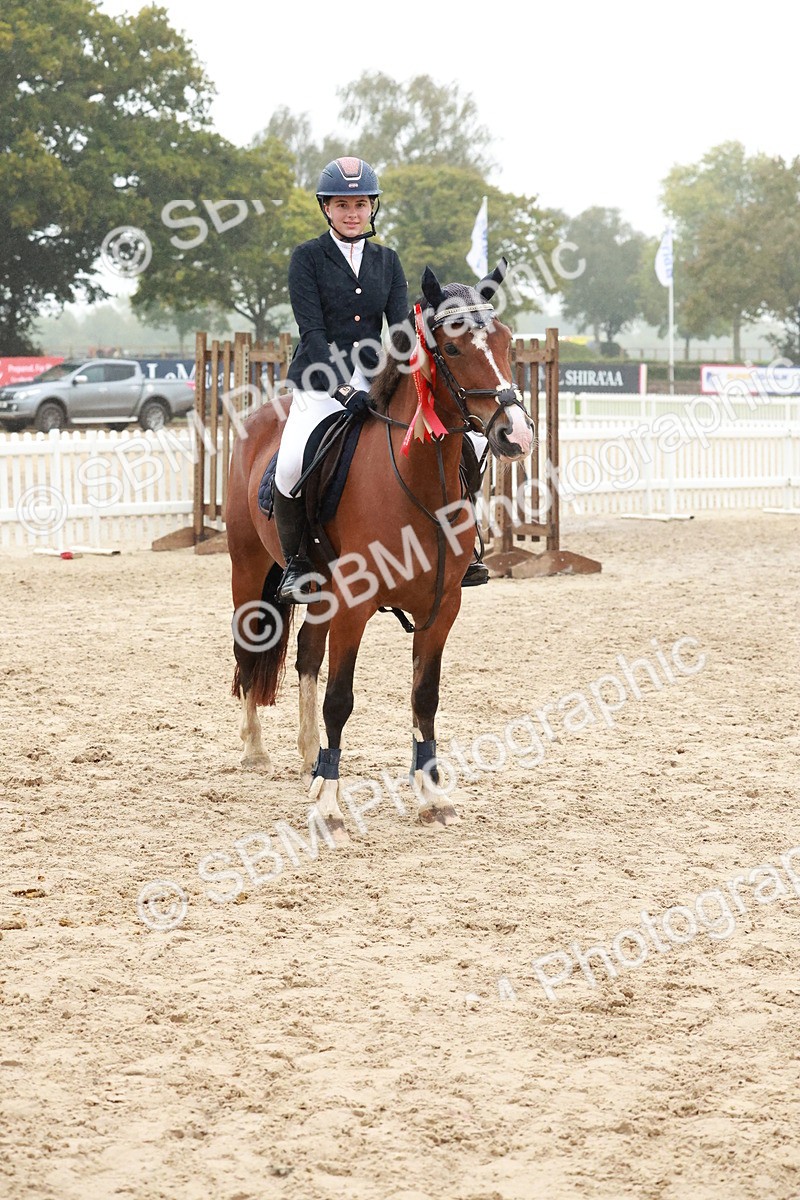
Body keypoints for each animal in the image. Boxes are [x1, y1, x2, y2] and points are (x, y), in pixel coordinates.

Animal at [225, 259, 533, 839]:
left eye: (505, 340)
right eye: (453, 347)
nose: (517, 434)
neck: (418, 484)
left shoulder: (442, 607)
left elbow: (424, 697)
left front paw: (432, 796)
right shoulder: (355, 605)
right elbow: (340, 700)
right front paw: (329, 808)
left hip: (320, 591)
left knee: (305, 653)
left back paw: (309, 758)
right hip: (249, 570)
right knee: (249, 647)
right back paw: (255, 750)